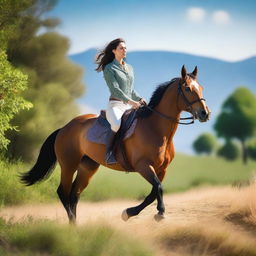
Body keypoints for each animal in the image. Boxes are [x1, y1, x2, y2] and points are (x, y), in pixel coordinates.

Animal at [21, 65, 210, 222]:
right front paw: (159, 213)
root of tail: (64, 127)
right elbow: (158, 188)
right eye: (187, 88)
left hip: (88, 166)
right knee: (63, 192)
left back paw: (75, 226)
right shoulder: (143, 166)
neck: (155, 128)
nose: (205, 113)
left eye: (201, 88)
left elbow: (153, 192)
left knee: (75, 194)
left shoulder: (162, 169)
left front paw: (129, 213)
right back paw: (72, 225)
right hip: (69, 164)